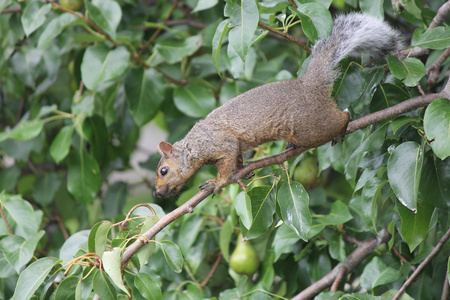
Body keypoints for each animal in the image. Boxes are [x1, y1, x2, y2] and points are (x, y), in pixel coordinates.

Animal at [154, 12, 400, 198]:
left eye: (163, 171)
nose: (157, 194)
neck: (194, 144)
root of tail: (309, 85)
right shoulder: (235, 146)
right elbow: (238, 158)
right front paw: (244, 171)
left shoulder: (220, 143)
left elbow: (226, 165)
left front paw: (217, 182)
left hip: (311, 127)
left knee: (342, 117)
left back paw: (342, 127)